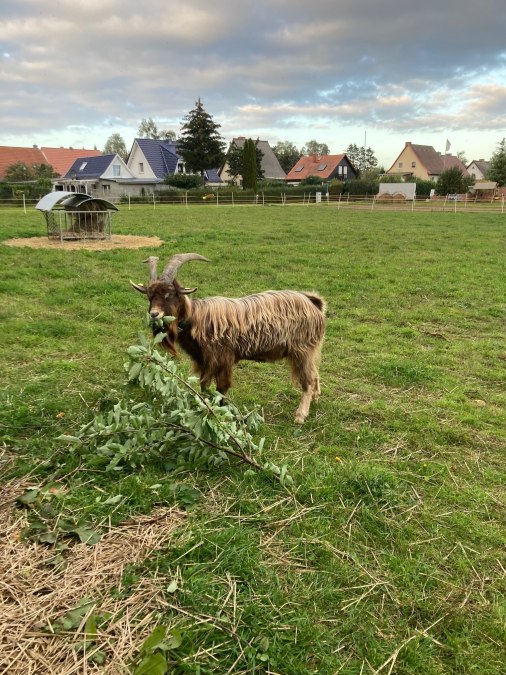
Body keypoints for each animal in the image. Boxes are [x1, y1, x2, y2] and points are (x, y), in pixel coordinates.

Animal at [130, 253, 326, 423]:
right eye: (149, 296)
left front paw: (219, 413)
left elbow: (221, 388)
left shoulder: (222, 358)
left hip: (302, 350)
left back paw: (300, 415)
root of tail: (313, 302)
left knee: (308, 380)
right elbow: (204, 386)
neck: (197, 318)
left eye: (169, 294)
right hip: (309, 350)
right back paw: (316, 398)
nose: (154, 315)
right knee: (315, 373)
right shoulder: (204, 361)